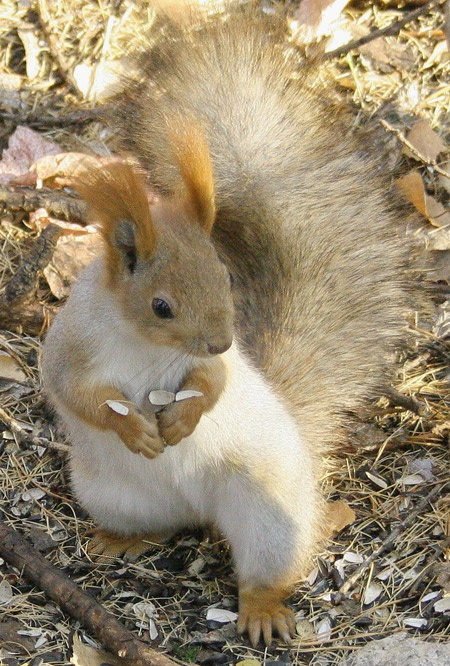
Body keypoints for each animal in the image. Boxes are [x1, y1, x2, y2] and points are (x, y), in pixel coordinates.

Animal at [42, 5, 414, 648]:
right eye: (162, 306)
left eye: (225, 277)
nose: (220, 338)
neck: (139, 343)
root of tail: (198, 508)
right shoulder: (71, 348)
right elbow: (80, 396)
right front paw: (134, 429)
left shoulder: (216, 365)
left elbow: (213, 383)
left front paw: (182, 419)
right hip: (110, 494)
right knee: (160, 525)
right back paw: (122, 539)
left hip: (267, 510)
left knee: (267, 565)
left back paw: (262, 607)